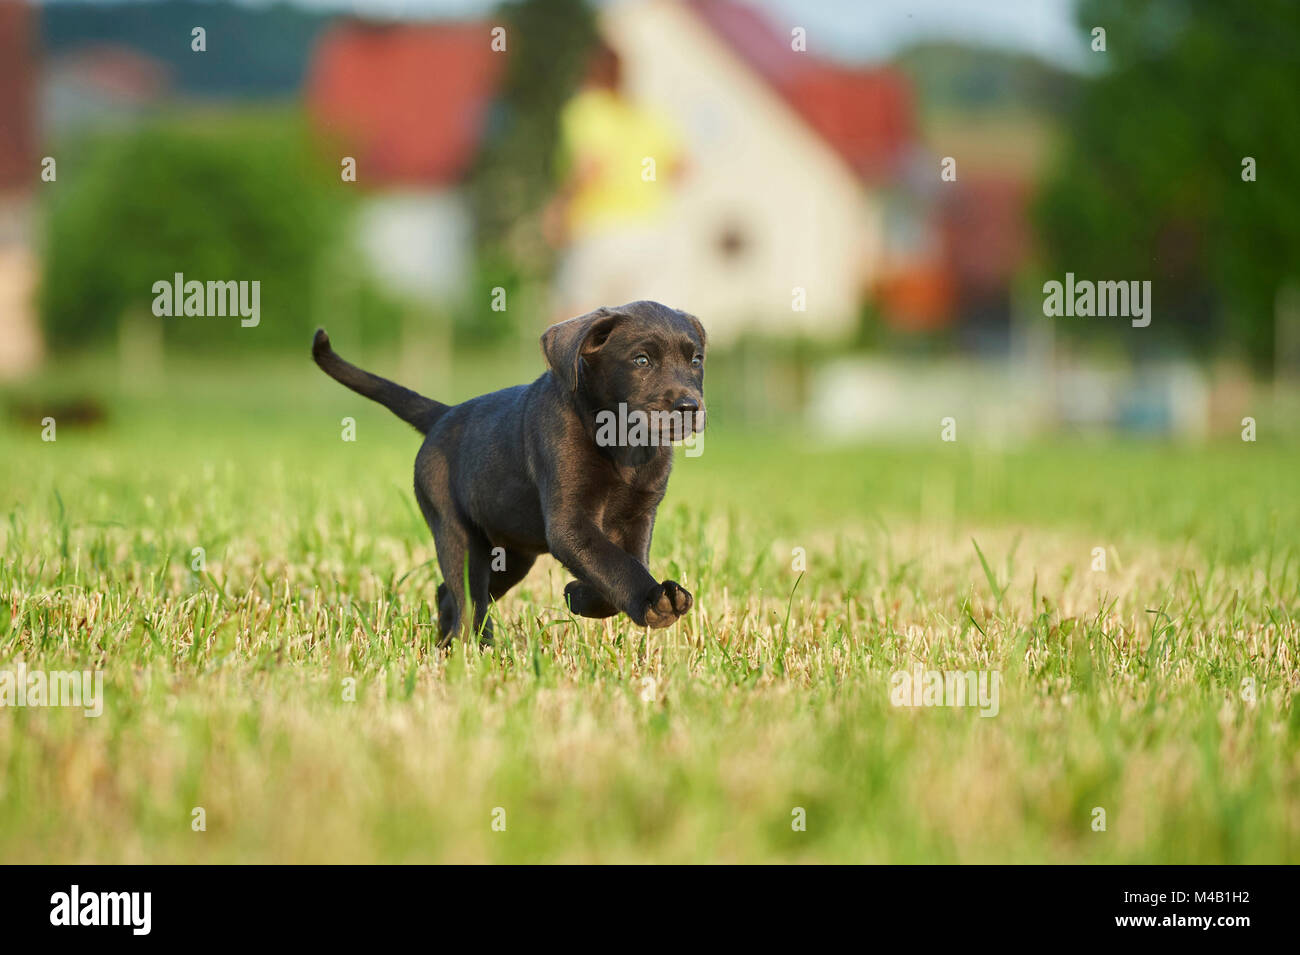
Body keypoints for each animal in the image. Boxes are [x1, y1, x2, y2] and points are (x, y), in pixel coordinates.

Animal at [310, 298, 707, 647]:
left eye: (696, 360)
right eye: (642, 360)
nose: (690, 407)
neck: (622, 441)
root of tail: (443, 414)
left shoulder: (638, 518)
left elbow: (619, 566)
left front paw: (580, 594)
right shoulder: (569, 523)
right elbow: (615, 565)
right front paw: (650, 599)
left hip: (511, 554)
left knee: (451, 595)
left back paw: (454, 646)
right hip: (456, 533)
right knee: (468, 599)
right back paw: (472, 649)